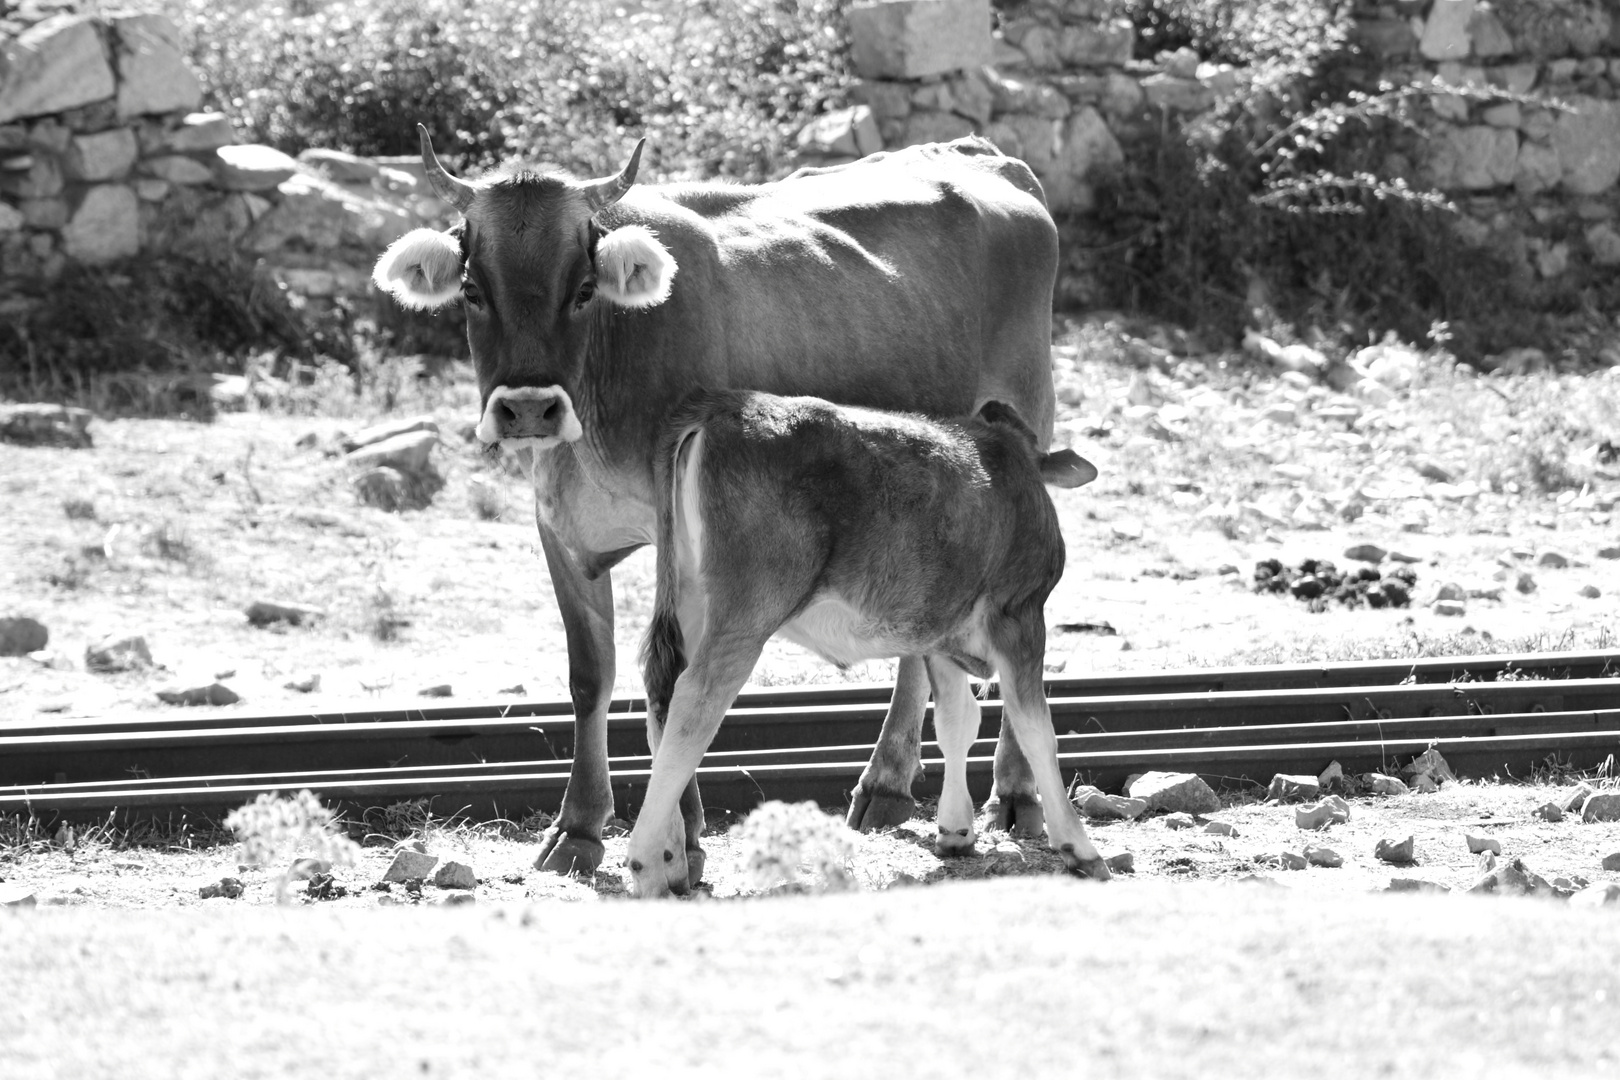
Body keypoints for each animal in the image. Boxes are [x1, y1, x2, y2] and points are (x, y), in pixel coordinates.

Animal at [374, 128, 1069, 887]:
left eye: (583, 289)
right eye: (474, 291)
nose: (529, 407)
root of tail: (979, 153)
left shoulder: (674, 523)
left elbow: (670, 677)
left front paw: (684, 838)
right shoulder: (557, 523)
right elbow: (590, 676)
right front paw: (579, 827)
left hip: (1026, 425)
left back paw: (1017, 793)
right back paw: (887, 784)